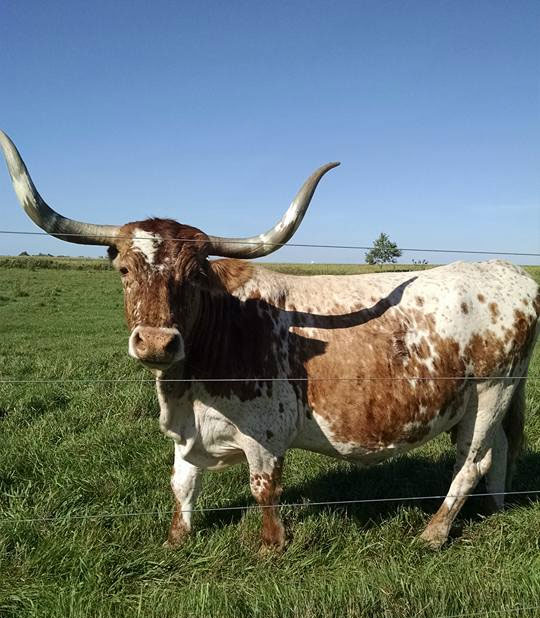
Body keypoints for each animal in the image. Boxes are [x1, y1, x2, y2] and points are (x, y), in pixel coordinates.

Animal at [2, 130, 536, 548]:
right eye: (124, 269)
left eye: (194, 274)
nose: (156, 343)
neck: (187, 385)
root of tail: (506, 270)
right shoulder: (187, 435)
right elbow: (181, 485)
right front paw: (176, 541)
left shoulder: (266, 434)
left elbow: (264, 489)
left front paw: (270, 549)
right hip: (485, 402)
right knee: (497, 452)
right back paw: (494, 510)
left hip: (491, 391)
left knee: (471, 462)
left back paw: (433, 533)